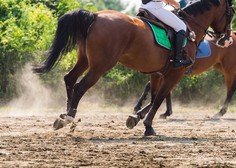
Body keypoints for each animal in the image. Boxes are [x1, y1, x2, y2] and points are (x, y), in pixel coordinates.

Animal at [33, 0, 234, 136]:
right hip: (100, 66)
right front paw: (148, 125)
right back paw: (69, 117)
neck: (190, 27)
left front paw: (138, 118)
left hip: (84, 60)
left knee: (69, 78)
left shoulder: (157, 73)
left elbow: (154, 97)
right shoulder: (175, 73)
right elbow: (159, 98)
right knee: (79, 86)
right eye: (231, 12)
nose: (226, 40)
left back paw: (64, 116)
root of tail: (96, 16)